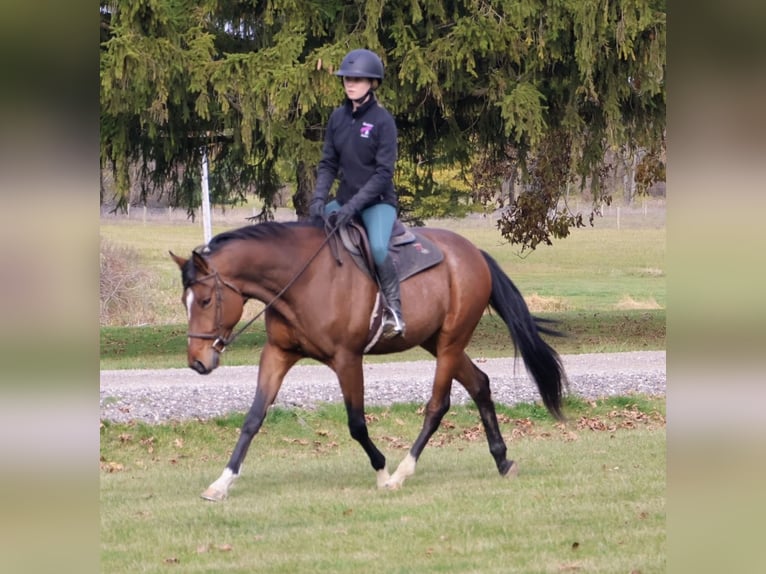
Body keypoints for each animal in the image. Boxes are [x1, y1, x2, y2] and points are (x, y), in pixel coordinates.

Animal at [170, 220, 567, 501]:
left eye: (205, 301)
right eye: (184, 302)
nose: (197, 362)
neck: (302, 280)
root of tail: (473, 253)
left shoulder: (347, 359)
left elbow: (357, 424)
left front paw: (381, 471)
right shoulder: (278, 353)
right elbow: (253, 418)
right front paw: (221, 483)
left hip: (450, 344)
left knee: (437, 406)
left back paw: (403, 472)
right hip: (436, 343)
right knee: (480, 384)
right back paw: (502, 460)